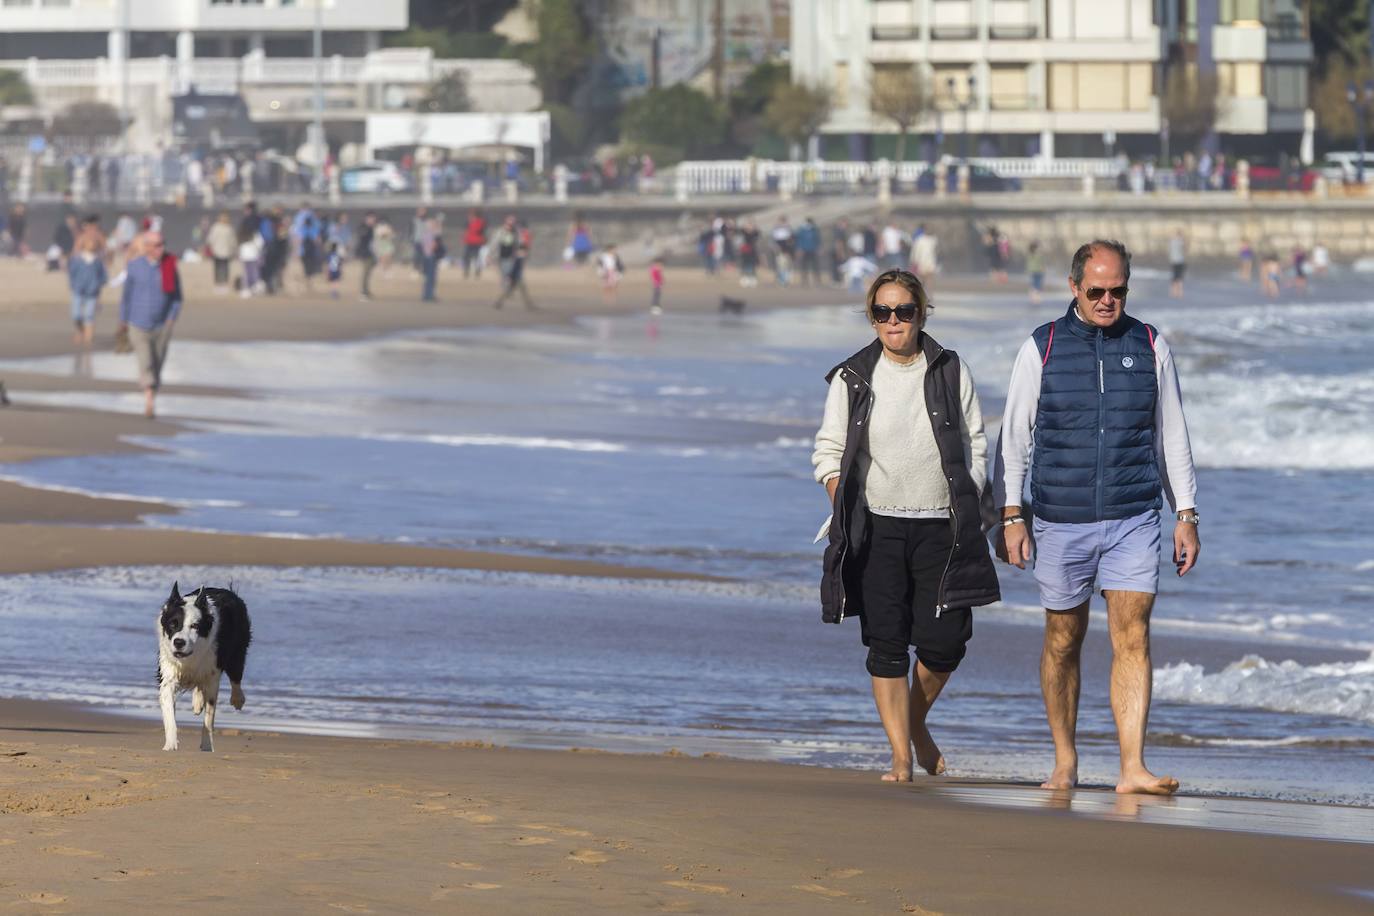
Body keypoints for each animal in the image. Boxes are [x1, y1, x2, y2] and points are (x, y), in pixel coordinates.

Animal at [158, 579, 252, 752]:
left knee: (236, 676)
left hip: (237, 650)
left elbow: (209, 717)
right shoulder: (169, 671)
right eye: (173, 624)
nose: (178, 642)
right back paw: (197, 703)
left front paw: (207, 745)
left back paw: (237, 699)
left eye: (195, 626)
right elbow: (169, 713)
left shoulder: (213, 674)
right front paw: (170, 744)